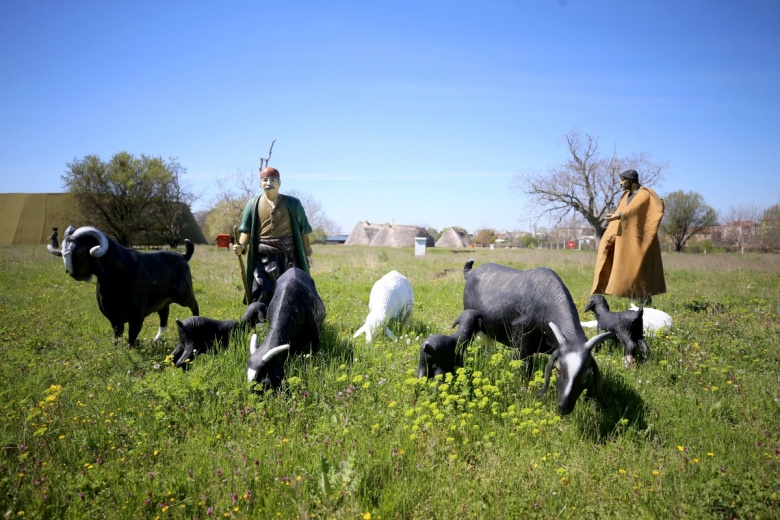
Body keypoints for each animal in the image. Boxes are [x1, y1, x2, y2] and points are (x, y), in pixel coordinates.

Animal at [47, 224, 200, 344]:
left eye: (81, 252)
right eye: (63, 250)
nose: (73, 273)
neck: (116, 272)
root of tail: (183, 256)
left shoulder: (137, 313)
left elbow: (133, 334)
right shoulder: (112, 315)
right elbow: (118, 333)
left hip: (185, 295)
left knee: (194, 306)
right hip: (162, 301)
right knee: (164, 317)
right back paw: (157, 339)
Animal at [464, 260, 616, 414]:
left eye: (586, 375)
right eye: (558, 369)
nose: (564, 407)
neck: (543, 303)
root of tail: (471, 273)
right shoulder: (523, 344)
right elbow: (525, 366)